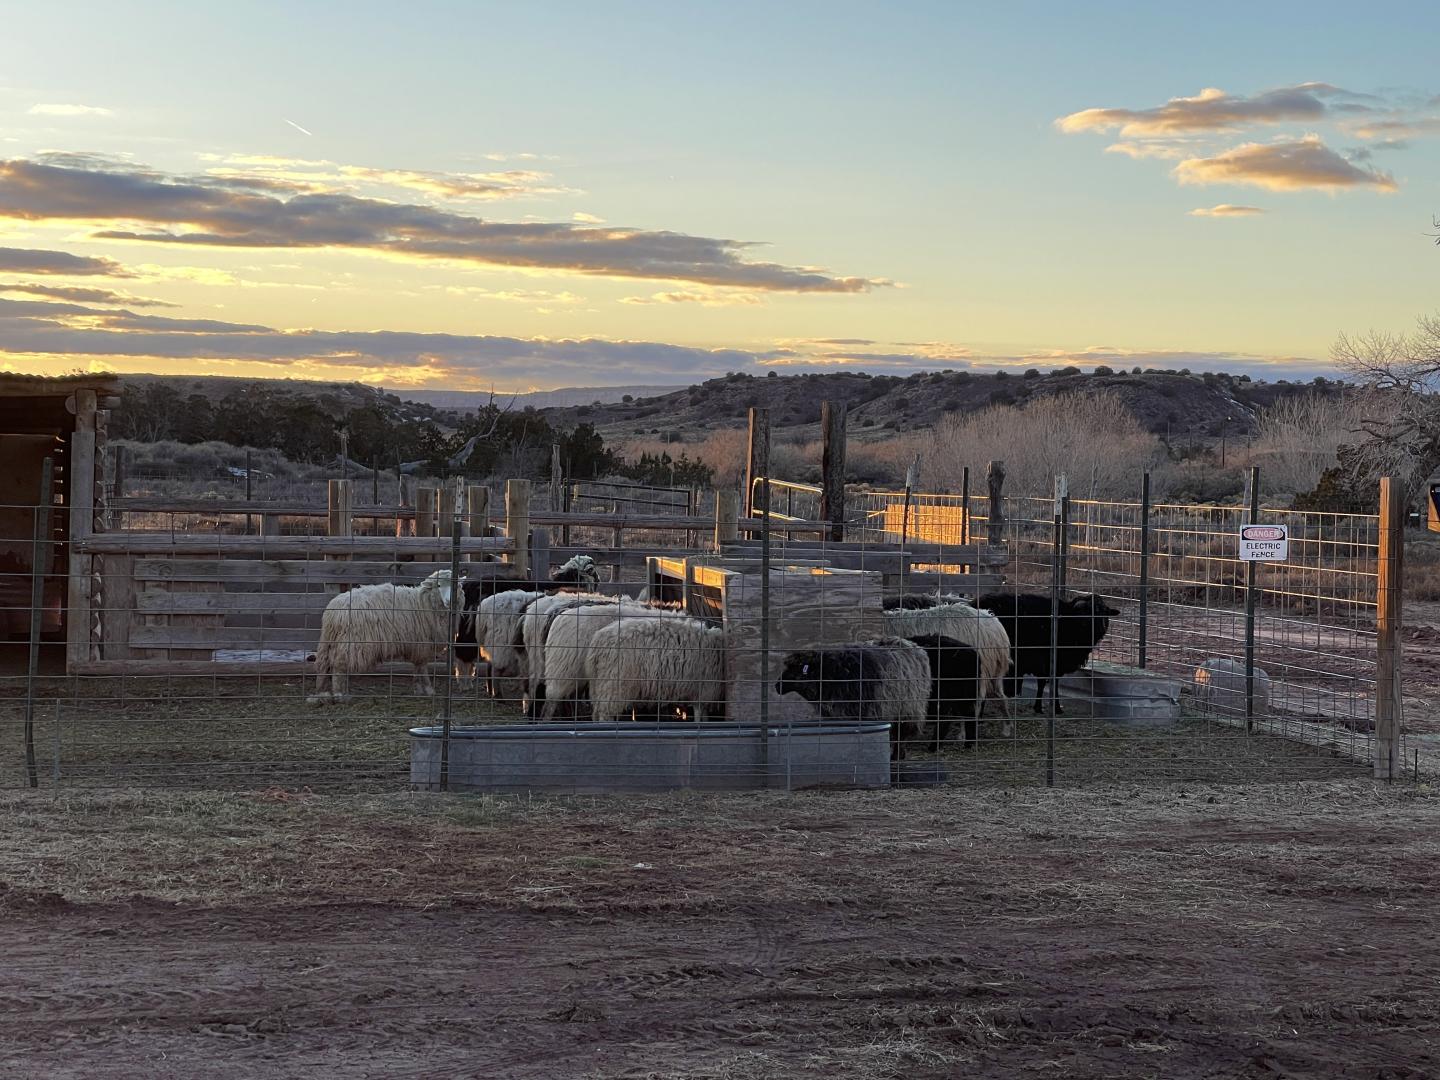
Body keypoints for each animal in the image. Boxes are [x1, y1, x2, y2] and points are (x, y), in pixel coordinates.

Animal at [308, 569, 455, 705]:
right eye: (438, 585)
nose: (449, 601)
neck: (423, 602)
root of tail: (332, 611)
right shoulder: (422, 644)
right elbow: (422, 666)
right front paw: (428, 689)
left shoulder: (417, 645)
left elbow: (417, 666)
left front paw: (418, 688)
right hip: (352, 642)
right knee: (339, 667)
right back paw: (341, 695)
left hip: (330, 640)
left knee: (323, 665)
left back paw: (322, 693)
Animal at [586, 617, 728, 723]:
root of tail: (598, 641)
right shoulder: (702, 689)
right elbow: (700, 715)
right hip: (614, 683)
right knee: (605, 713)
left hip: (599, 684)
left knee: (596, 712)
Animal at [775, 637, 931, 761]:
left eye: (798, 669)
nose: (777, 685)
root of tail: (909, 642)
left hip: (909, 710)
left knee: (902, 735)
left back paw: (897, 756)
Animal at [976, 592, 1121, 714]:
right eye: (1087, 611)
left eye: (1103, 612)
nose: (1101, 626)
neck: (1069, 620)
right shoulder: (1048, 660)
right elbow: (1049, 683)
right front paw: (1052, 708)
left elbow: (1045, 683)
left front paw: (1042, 707)